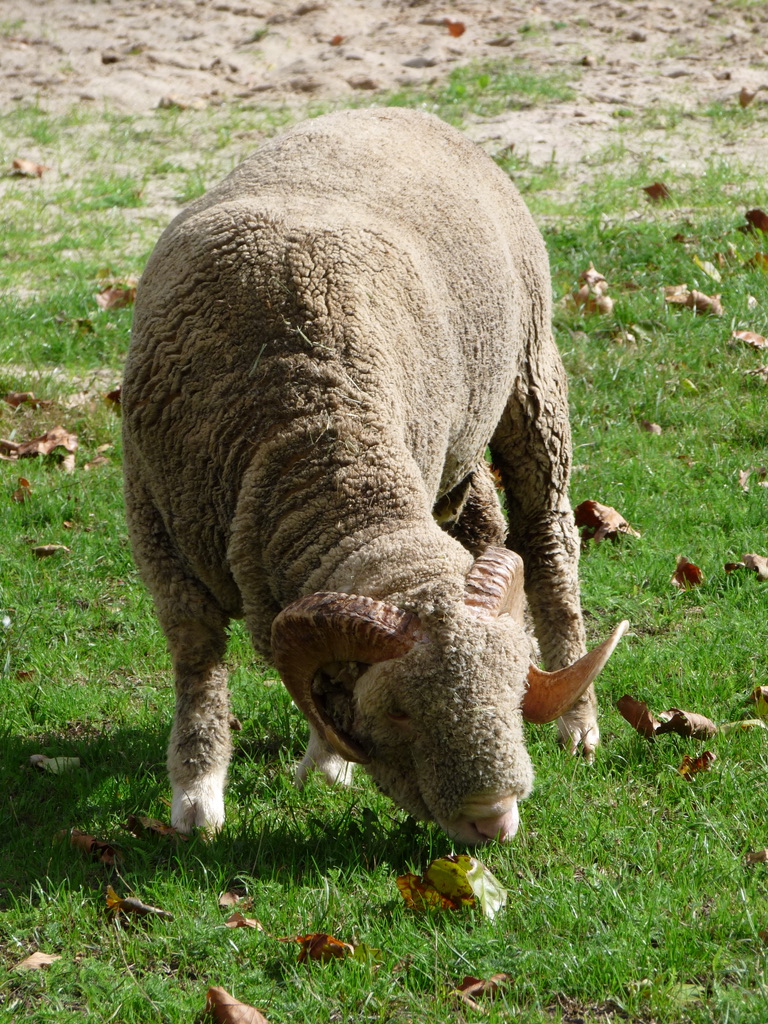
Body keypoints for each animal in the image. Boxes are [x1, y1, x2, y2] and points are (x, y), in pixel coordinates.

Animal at [123, 108, 626, 843]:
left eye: (512, 695)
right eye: (397, 711)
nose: (494, 821)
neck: (308, 422)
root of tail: (410, 112)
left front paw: (326, 762)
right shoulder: (158, 530)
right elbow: (197, 661)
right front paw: (197, 792)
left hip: (532, 370)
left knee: (549, 540)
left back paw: (578, 722)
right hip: (465, 430)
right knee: (487, 516)